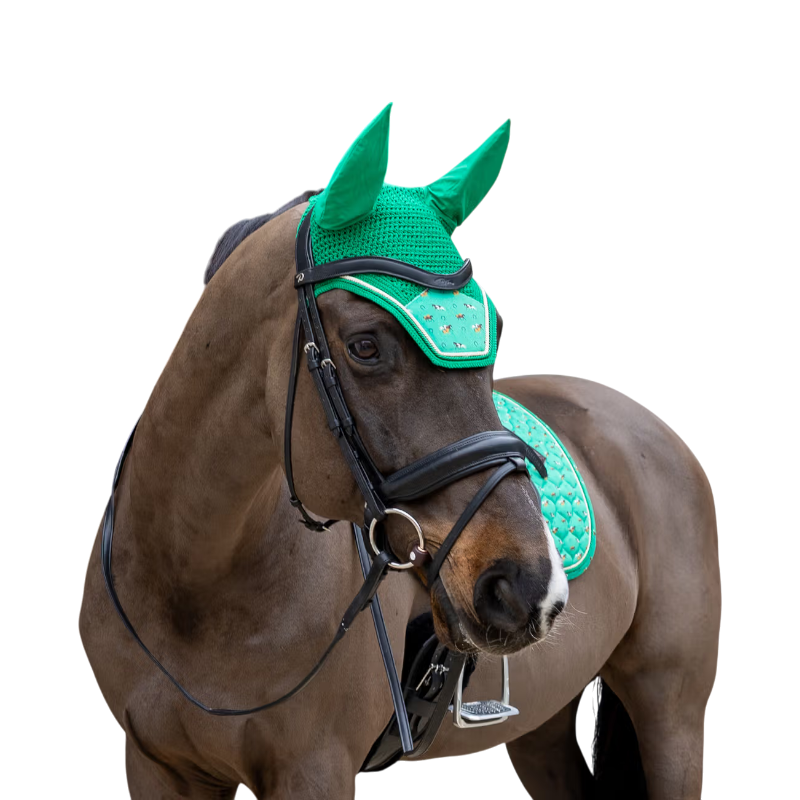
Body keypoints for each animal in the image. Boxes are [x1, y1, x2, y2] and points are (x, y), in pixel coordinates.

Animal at [79, 107, 720, 799]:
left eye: (494, 326)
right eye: (364, 345)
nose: (530, 586)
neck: (193, 584)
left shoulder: (314, 771)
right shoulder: (156, 766)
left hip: (671, 713)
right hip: (543, 728)